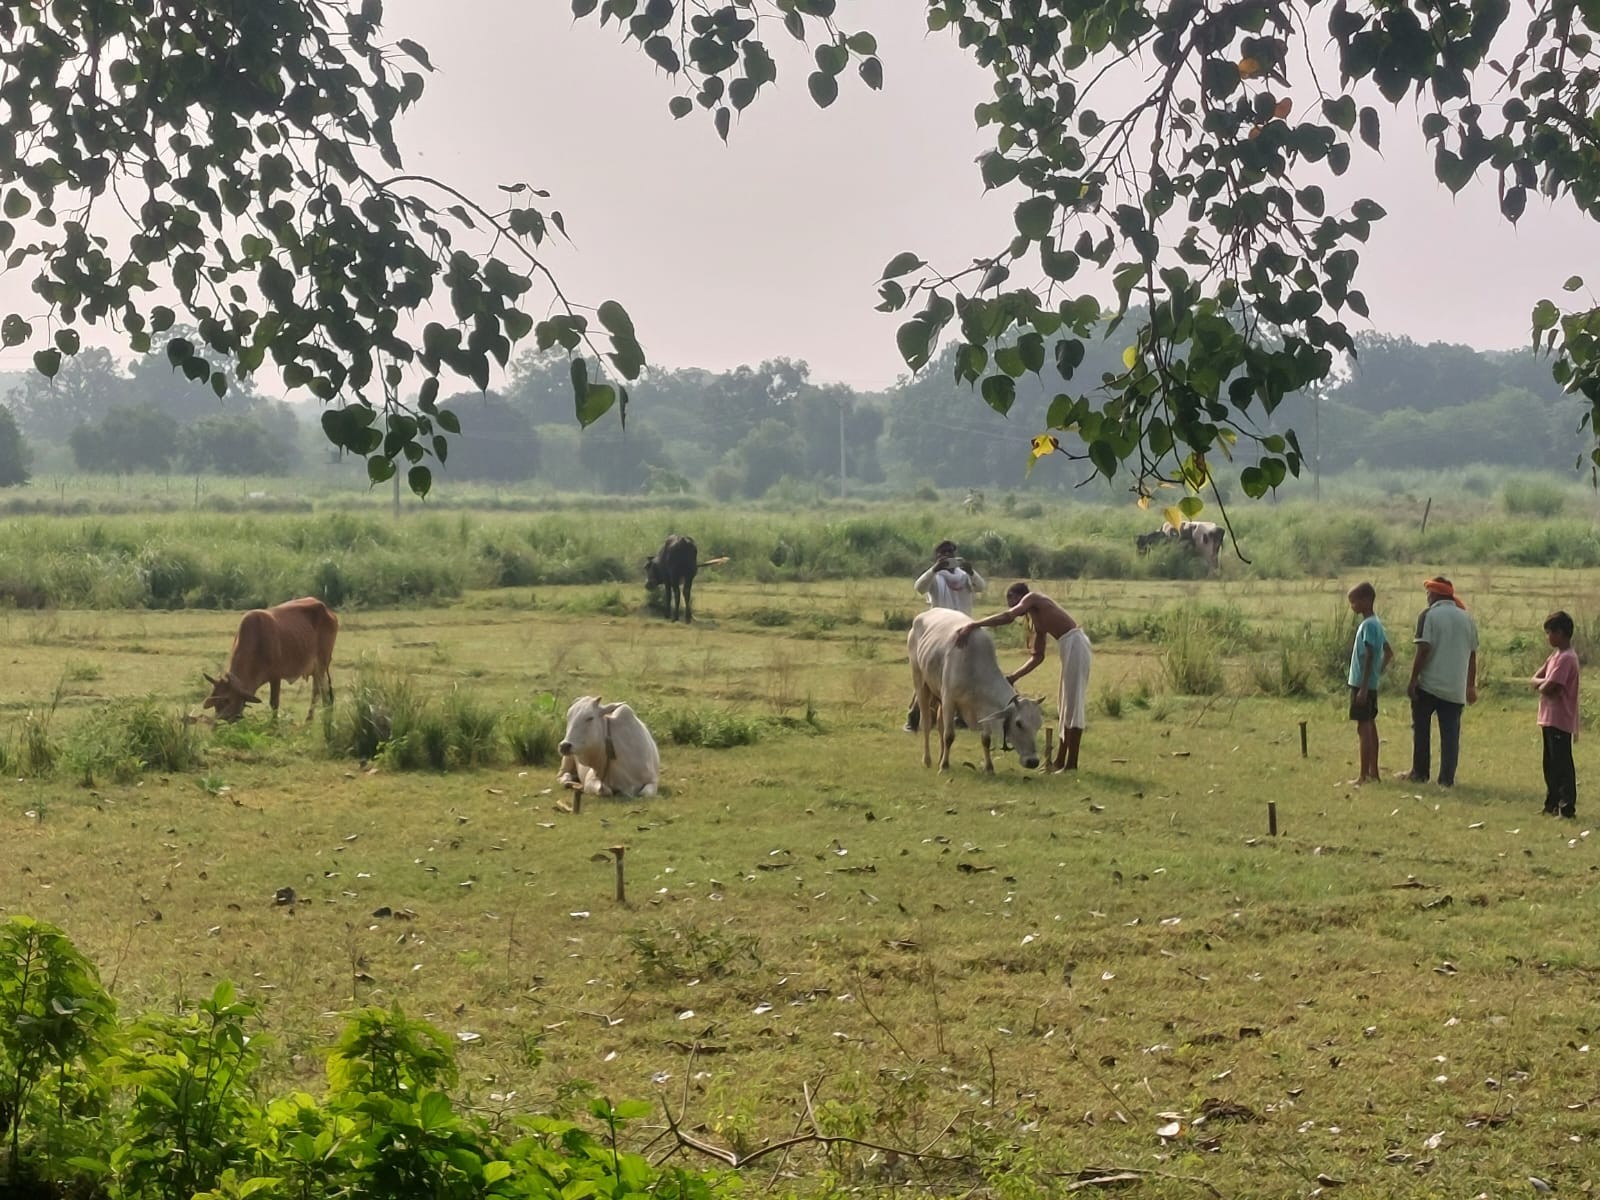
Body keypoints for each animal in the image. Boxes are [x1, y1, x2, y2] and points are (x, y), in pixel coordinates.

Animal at [202, 596, 339, 722]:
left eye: (227, 700)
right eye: (215, 703)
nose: (221, 720)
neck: (257, 641)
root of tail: (328, 610)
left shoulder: (276, 677)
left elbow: (274, 704)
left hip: (321, 666)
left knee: (323, 695)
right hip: (315, 671)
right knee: (319, 693)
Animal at [907, 607, 1044, 773]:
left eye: (1038, 725)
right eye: (1018, 723)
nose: (1033, 761)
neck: (975, 668)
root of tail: (925, 614)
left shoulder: (983, 709)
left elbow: (986, 739)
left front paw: (989, 768)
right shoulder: (949, 700)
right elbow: (949, 736)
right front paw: (944, 767)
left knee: (939, 725)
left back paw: (940, 757)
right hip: (920, 681)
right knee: (926, 723)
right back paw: (928, 760)